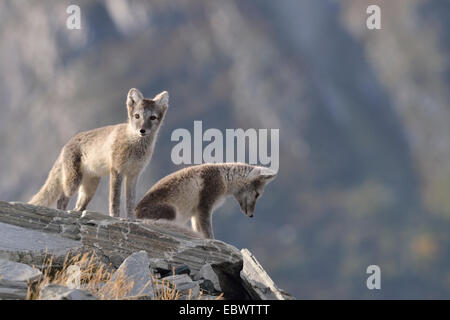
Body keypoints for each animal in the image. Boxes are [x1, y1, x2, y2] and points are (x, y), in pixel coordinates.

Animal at [135, 164, 278, 239]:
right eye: (257, 194)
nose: (251, 215)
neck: (224, 177)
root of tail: (135, 215)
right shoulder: (205, 206)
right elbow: (208, 233)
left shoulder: (195, 215)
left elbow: (199, 230)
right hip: (171, 212)